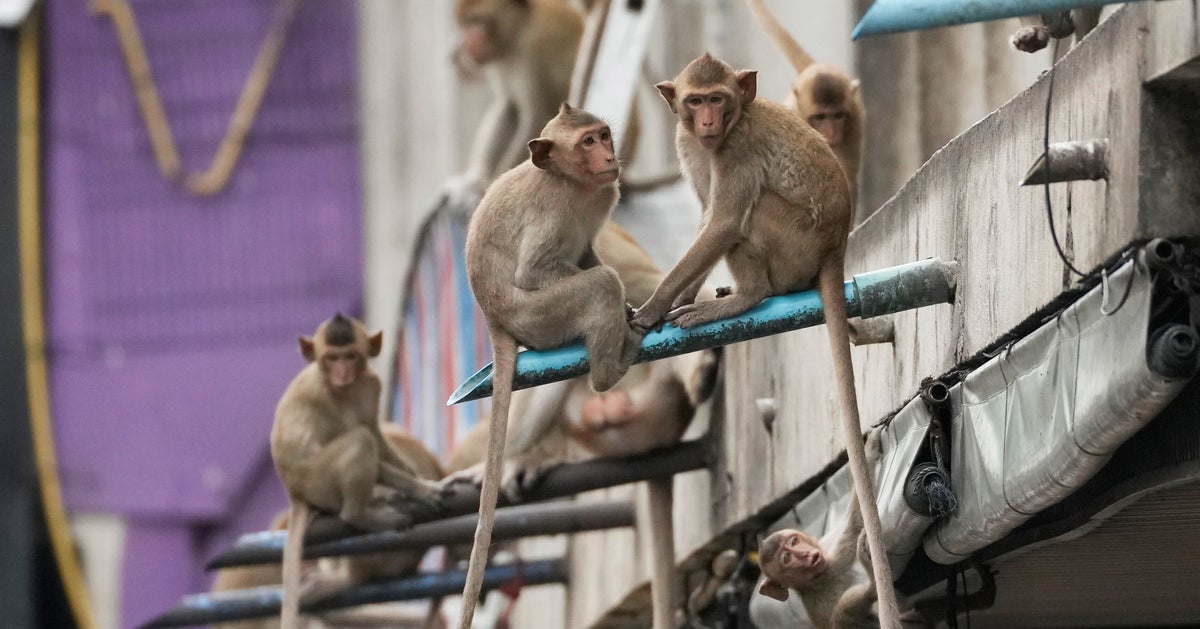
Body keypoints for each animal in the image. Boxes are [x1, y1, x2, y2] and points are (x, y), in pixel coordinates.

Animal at [270, 314, 446, 629]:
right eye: (332, 358)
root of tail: (294, 492)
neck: (346, 387)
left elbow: (376, 434)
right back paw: (359, 514)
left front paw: (419, 481)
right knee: (359, 440)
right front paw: (421, 488)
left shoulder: (370, 384)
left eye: (350, 356)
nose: (342, 372)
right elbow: (367, 440)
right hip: (318, 480)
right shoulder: (324, 396)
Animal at [457, 103, 643, 628]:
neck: (574, 183)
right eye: (587, 142)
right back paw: (609, 370)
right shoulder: (554, 212)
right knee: (597, 285)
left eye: (603, 135)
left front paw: (628, 309)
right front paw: (621, 304)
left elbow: (587, 253)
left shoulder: (604, 193)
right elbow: (537, 271)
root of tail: (495, 320)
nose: (609, 155)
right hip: (538, 317)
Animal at [631, 53, 903, 628]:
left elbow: (721, 223)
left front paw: (650, 311)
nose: (709, 121)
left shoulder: (736, 150)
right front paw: (669, 301)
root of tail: (835, 248)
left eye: (718, 99)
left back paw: (745, 296)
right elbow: (706, 217)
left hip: (794, 240)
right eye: (695, 100)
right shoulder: (691, 146)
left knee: (747, 216)